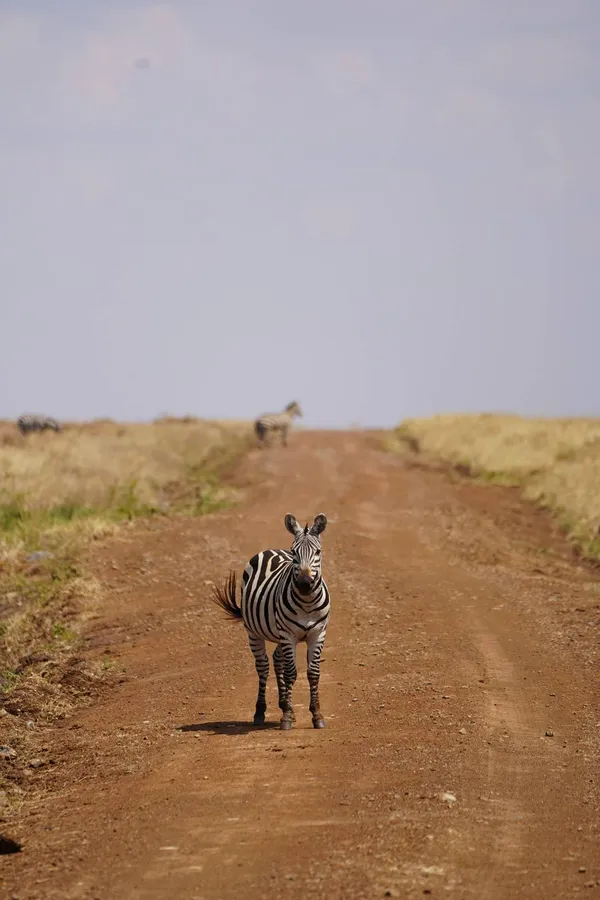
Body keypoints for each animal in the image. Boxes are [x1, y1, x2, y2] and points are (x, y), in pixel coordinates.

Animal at [212, 512, 330, 730]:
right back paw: (260, 712)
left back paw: (283, 703)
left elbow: (313, 673)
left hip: (279, 634)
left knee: (277, 659)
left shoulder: (318, 634)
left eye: (318, 551)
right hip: (254, 632)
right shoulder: (288, 635)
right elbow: (291, 673)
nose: (304, 584)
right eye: (294, 552)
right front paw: (287, 717)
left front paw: (316, 715)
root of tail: (270, 550)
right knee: (263, 666)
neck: (307, 603)